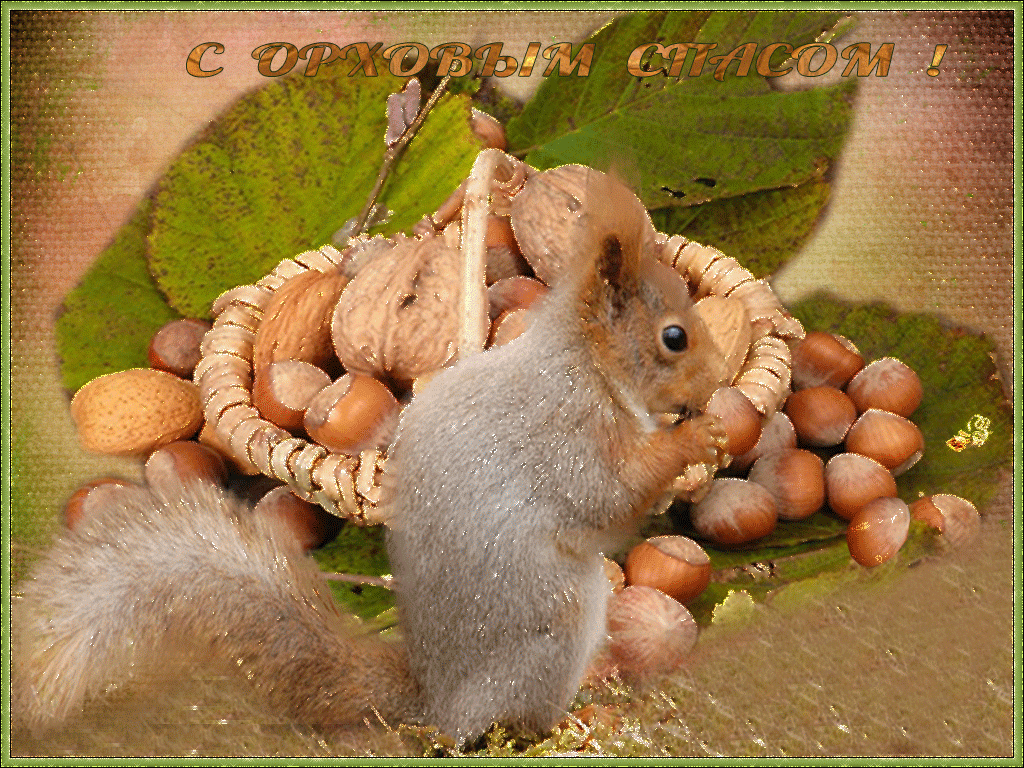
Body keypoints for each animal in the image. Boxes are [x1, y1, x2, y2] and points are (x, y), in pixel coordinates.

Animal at [13, 172, 728, 747]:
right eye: (674, 337)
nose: (720, 378)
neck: (587, 364)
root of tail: (437, 704)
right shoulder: (568, 432)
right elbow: (609, 500)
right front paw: (696, 439)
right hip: (554, 631)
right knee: (514, 723)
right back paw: (577, 720)